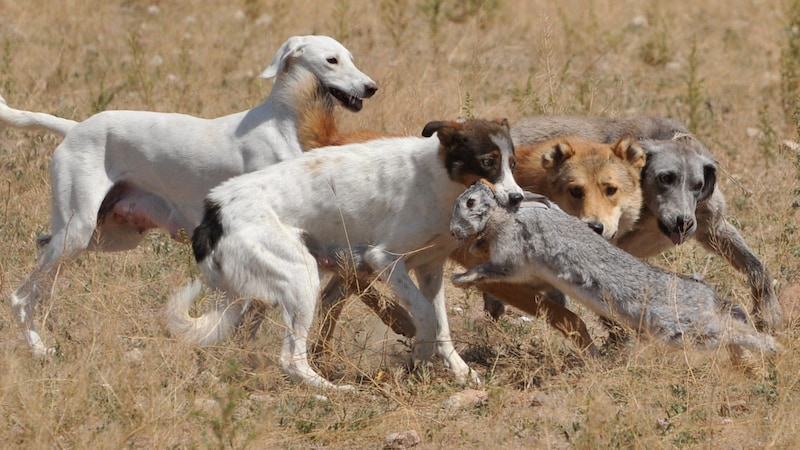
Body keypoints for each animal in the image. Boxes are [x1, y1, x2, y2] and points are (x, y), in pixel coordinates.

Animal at [454, 181, 780, 360]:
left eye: (470, 202)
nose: (454, 229)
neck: (505, 214)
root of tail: (707, 297)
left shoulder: (511, 257)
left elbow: (490, 269)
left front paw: (460, 278)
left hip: (682, 328)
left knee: (735, 331)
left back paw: (773, 348)